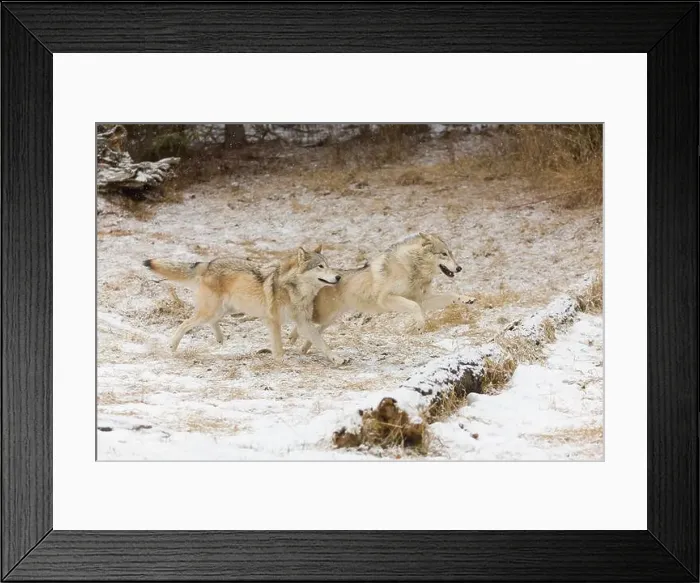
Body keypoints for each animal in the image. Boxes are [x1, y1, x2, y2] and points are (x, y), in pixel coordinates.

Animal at [144, 247, 346, 365]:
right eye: (320, 266)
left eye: (329, 265)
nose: (338, 277)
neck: (294, 290)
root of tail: (208, 264)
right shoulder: (274, 321)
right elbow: (279, 346)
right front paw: (281, 361)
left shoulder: (304, 324)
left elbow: (323, 343)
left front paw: (337, 358)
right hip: (211, 311)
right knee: (184, 324)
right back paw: (173, 347)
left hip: (225, 310)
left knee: (210, 323)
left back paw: (220, 340)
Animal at [289, 232, 471, 354]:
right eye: (444, 254)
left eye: (451, 253)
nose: (459, 268)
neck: (412, 268)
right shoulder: (387, 299)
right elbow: (414, 307)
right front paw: (420, 325)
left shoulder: (423, 299)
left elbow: (451, 295)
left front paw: (467, 299)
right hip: (323, 316)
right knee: (301, 323)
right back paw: (292, 339)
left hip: (330, 320)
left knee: (313, 331)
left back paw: (304, 349)